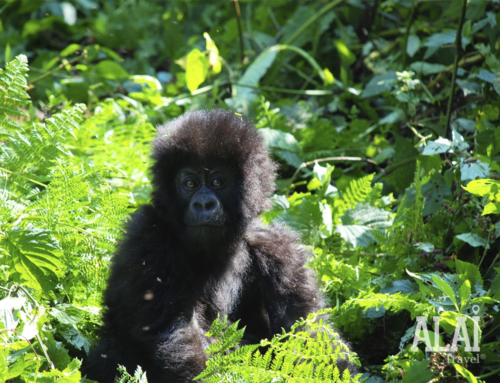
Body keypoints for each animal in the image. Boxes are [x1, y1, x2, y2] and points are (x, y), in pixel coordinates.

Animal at [82, 109, 356, 382]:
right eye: (190, 184)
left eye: (217, 182)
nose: (204, 204)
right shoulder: (147, 236)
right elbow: (175, 330)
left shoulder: (278, 247)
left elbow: (306, 331)